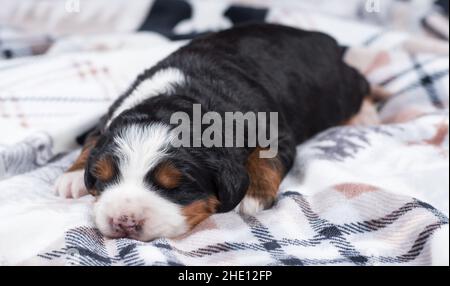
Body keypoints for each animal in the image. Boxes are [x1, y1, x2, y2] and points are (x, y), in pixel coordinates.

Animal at [55, 23, 372, 241]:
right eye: (103, 177)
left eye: (175, 187)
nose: (124, 221)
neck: (183, 96)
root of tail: (323, 38)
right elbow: (93, 138)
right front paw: (73, 176)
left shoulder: (275, 131)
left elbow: (266, 158)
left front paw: (253, 196)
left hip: (338, 91)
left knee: (363, 83)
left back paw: (365, 113)